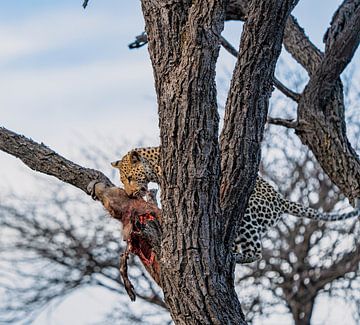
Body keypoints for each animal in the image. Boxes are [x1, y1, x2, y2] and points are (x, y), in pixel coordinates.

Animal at [111, 147, 358, 264]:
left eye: (130, 177)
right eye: (123, 180)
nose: (130, 193)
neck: (155, 165)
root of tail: (281, 200)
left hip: (248, 216)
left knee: (257, 252)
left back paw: (235, 257)